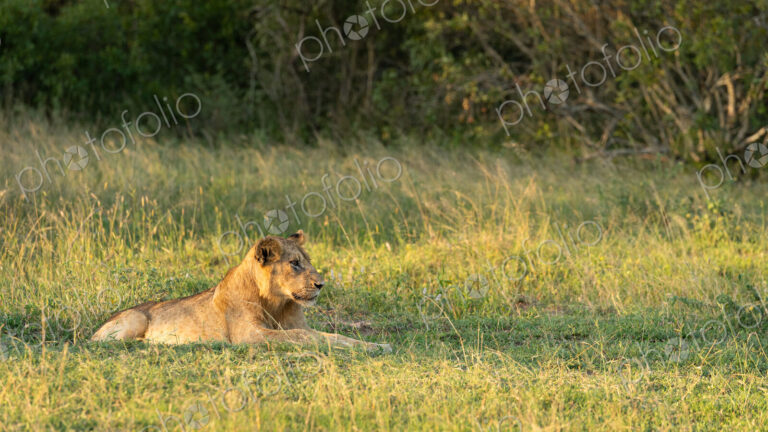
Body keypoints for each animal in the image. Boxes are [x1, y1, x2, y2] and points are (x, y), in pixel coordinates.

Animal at [91, 230, 391, 353]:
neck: (276, 302)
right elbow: (302, 336)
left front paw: (378, 346)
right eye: (294, 263)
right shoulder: (249, 335)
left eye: (307, 261)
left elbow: (333, 336)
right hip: (136, 318)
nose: (321, 284)